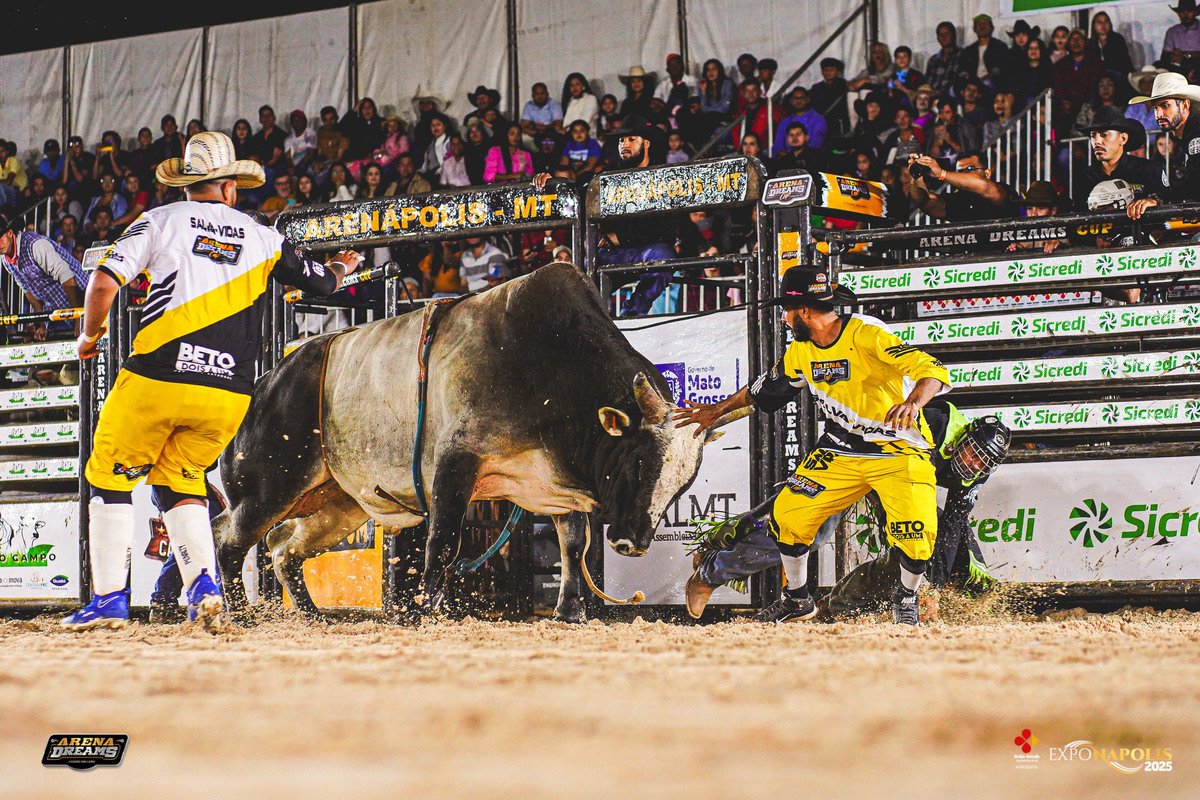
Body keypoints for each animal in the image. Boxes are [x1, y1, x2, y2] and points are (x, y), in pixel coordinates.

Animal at [214, 263, 736, 622]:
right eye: (638, 463)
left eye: (683, 485)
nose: (632, 543)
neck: (546, 366)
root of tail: (266, 382)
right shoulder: (453, 464)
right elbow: (444, 541)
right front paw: (428, 608)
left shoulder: (557, 484)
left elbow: (572, 542)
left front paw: (569, 611)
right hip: (268, 486)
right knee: (230, 539)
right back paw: (239, 612)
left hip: (338, 503)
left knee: (282, 548)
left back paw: (310, 614)